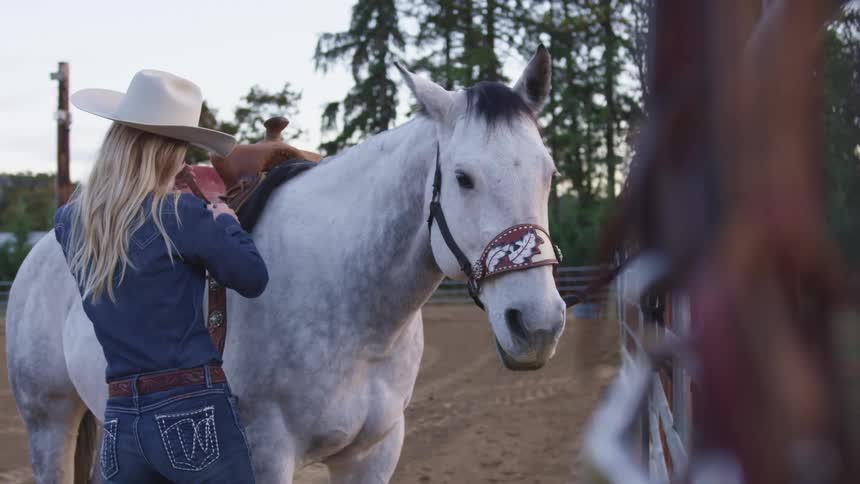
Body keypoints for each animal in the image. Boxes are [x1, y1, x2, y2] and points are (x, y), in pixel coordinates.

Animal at [6, 47, 565, 483]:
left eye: (549, 172)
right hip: (49, 423)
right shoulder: (266, 455)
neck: (350, 309)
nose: (536, 324)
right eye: (464, 177)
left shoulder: (373, 454)